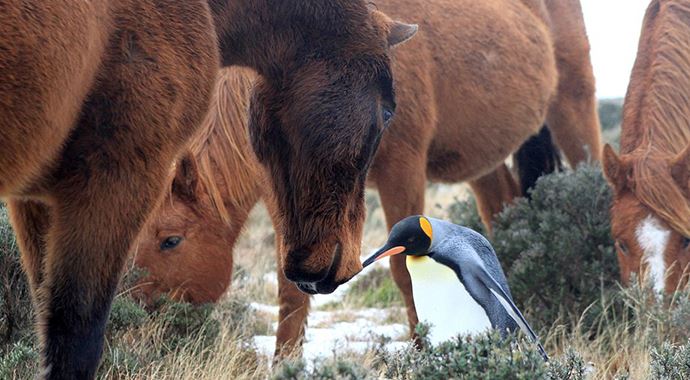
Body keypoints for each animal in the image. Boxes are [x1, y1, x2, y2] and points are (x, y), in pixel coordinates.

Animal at [0, 0, 408, 378]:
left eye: (170, 241)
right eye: (388, 112)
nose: (134, 333)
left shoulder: (36, 204)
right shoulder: (113, 183)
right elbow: (77, 343)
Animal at [133, 0, 596, 360]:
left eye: (170, 240)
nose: (136, 321)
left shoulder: (402, 172)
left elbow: (403, 274)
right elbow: (290, 292)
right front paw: (284, 362)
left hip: (574, 108)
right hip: (483, 163)